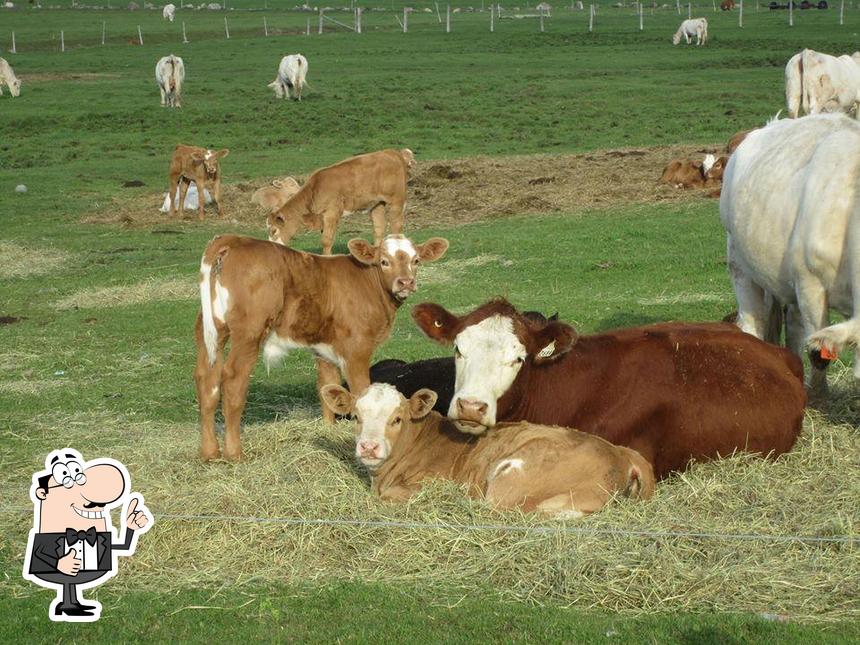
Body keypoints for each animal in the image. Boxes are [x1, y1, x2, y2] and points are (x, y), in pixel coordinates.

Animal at [196, 231, 450, 458]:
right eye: (384, 261)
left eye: (416, 260)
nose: (406, 282)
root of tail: (233, 240)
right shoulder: (357, 350)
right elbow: (360, 391)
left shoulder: (324, 349)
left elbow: (327, 387)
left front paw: (330, 430)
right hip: (250, 332)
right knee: (232, 381)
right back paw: (234, 453)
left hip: (210, 331)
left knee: (206, 380)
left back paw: (210, 452)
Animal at [268, 148, 416, 254]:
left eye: (274, 231)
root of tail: (393, 152)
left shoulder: (331, 213)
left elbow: (326, 240)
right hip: (377, 203)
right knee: (379, 228)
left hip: (397, 200)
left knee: (396, 226)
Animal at [720, 113, 860, 390]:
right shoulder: (810, 285)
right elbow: (819, 356)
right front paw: (819, 394)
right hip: (739, 263)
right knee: (753, 323)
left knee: (792, 331)